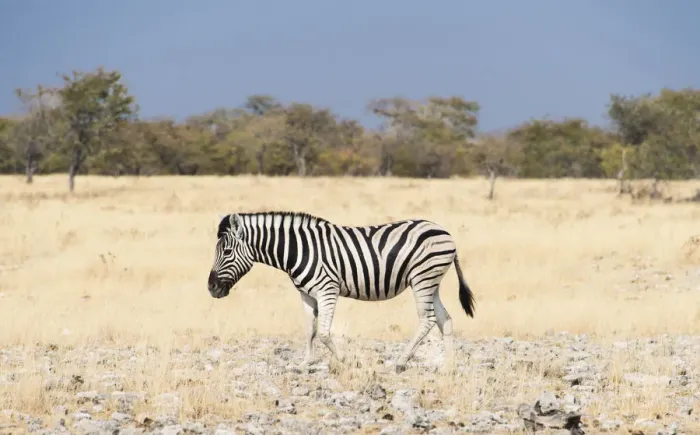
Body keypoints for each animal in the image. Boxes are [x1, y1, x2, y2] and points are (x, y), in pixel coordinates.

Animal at [207, 211, 475, 373]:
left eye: (227, 252)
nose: (211, 288)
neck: (298, 250)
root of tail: (444, 231)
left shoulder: (327, 289)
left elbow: (324, 333)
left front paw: (348, 361)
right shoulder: (306, 294)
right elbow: (310, 330)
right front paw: (305, 363)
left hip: (422, 278)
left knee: (427, 319)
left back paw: (400, 361)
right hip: (431, 282)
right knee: (444, 319)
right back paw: (448, 367)